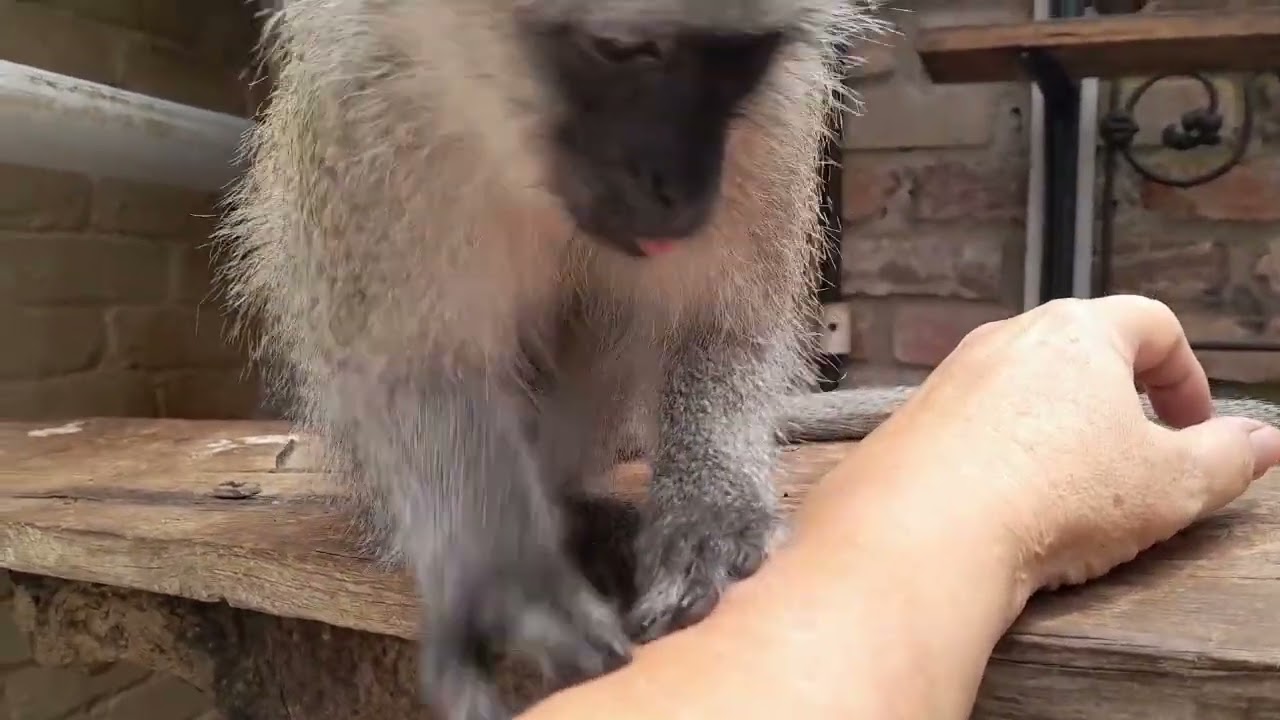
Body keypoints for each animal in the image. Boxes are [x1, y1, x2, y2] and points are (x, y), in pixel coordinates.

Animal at [215, 1, 1280, 718]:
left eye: (739, 58)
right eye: (624, 50)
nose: (681, 189)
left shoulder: (772, 113)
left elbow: (722, 321)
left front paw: (709, 509)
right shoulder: (362, 109)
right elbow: (403, 359)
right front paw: (499, 571)